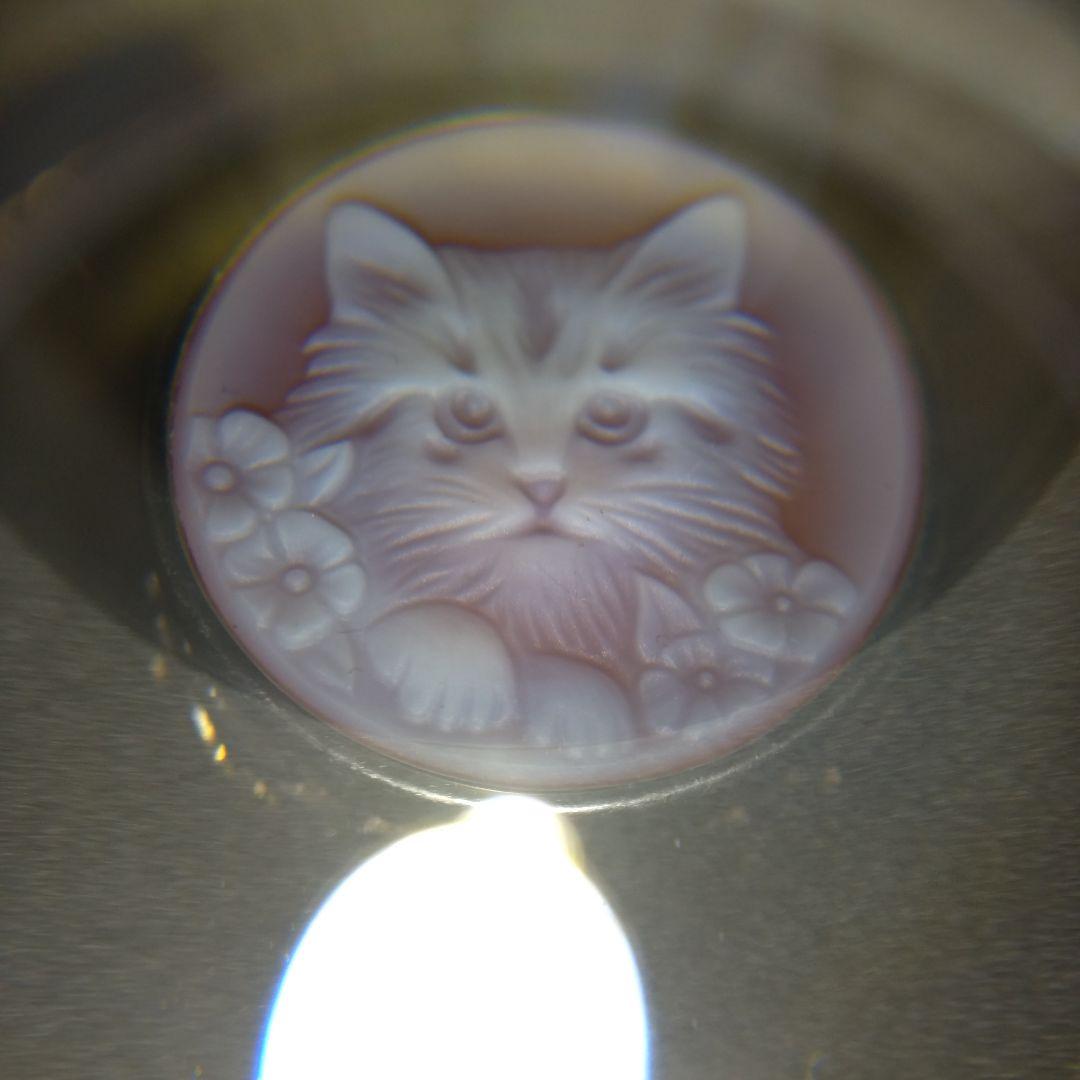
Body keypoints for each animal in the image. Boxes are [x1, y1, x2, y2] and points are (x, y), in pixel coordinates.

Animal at [277, 196, 801, 736]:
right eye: (470, 410)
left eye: (611, 412)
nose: (543, 487)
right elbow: (421, 623)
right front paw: (464, 691)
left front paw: (581, 720)